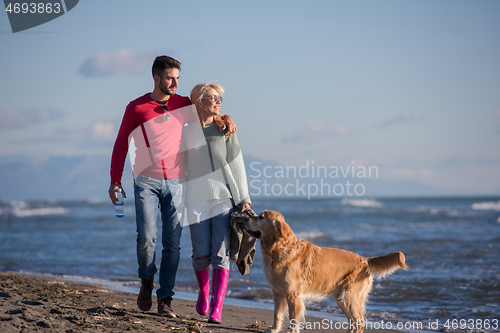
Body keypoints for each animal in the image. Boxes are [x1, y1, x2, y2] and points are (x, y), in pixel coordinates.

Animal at [244, 210, 408, 332]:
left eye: (261, 217)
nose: (245, 218)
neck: (279, 249)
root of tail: (365, 260)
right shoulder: (278, 292)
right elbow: (277, 314)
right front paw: (273, 329)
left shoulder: (293, 294)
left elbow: (293, 318)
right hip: (342, 298)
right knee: (353, 322)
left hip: (350, 296)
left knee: (359, 323)